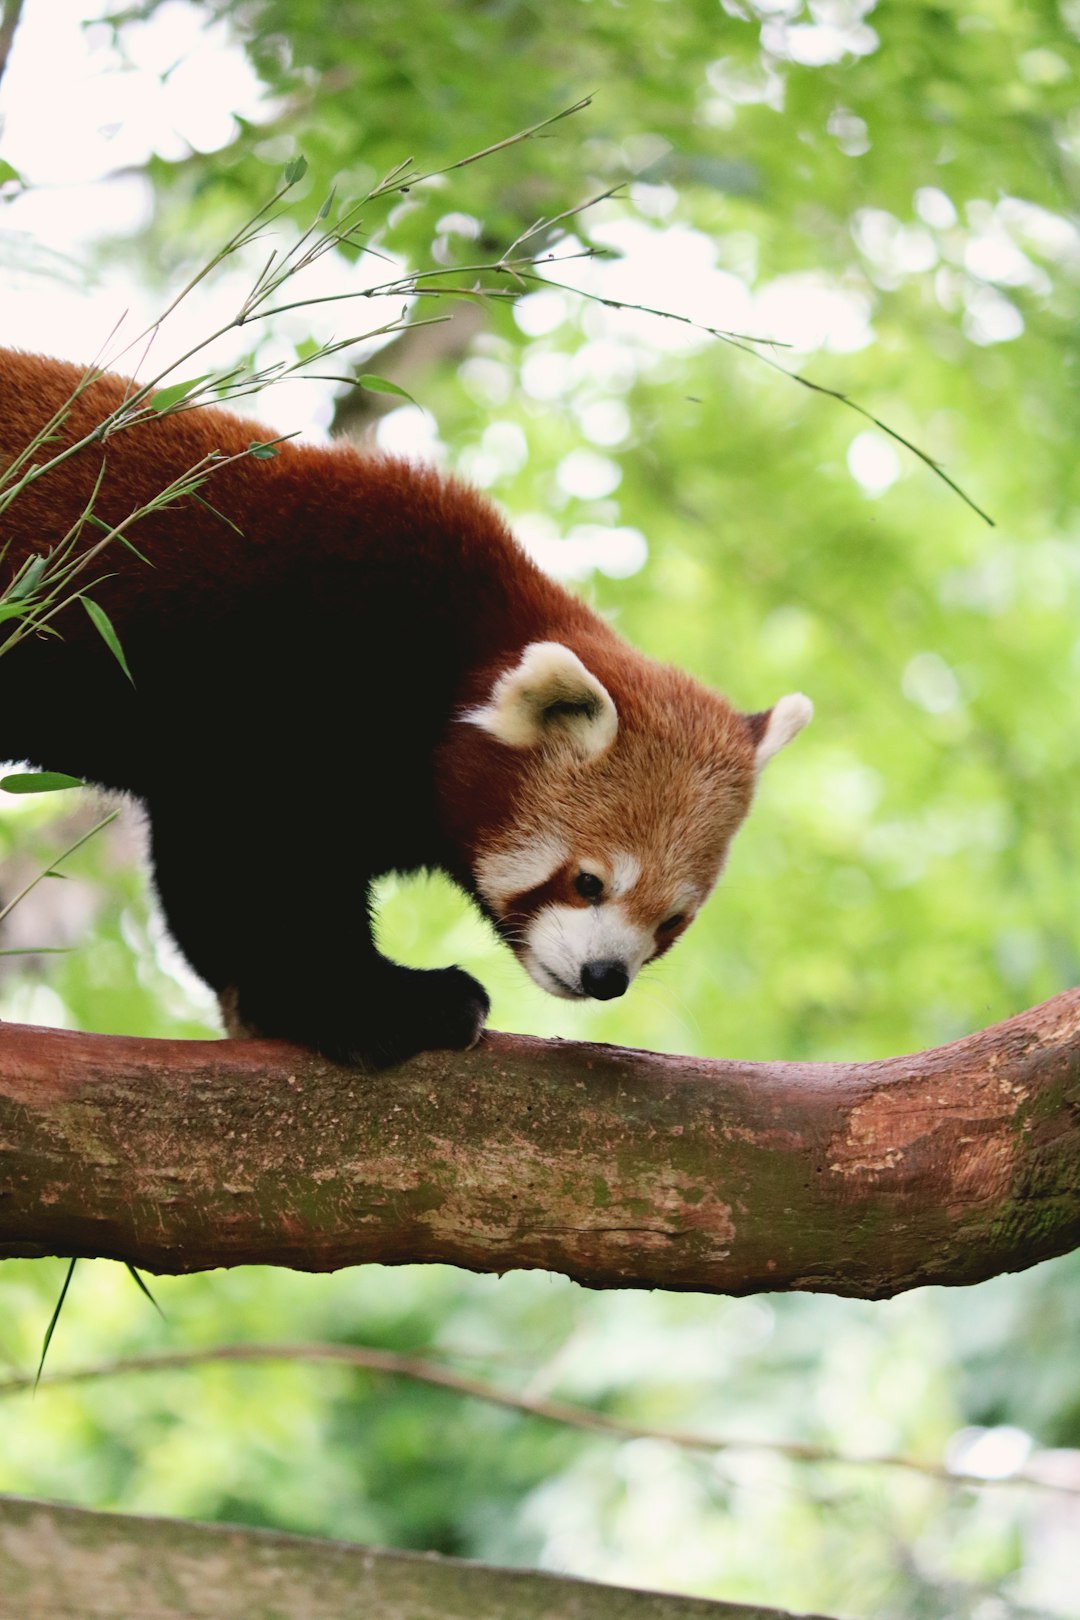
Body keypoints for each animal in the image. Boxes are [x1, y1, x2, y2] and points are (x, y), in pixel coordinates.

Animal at [0, 348, 809, 1069]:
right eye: (589, 882)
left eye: (673, 920)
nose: (606, 977)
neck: (453, 656)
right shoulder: (294, 679)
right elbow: (262, 871)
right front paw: (377, 1005)